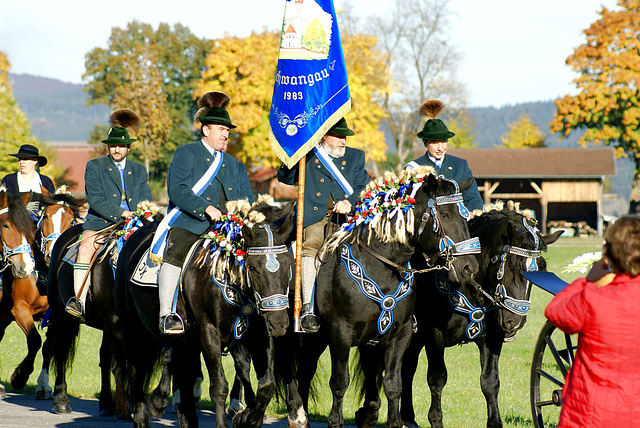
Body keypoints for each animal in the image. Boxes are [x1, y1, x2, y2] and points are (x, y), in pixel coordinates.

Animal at [44, 206, 158, 416]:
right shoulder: (115, 323)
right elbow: (122, 364)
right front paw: (127, 407)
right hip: (62, 314)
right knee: (62, 351)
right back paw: (61, 399)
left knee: (104, 357)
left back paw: (106, 403)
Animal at [115, 197, 296, 428]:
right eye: (254, 267)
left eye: (288, 264)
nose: (279, 322)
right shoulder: (209, 334)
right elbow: (219, 386)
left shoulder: (259, 335)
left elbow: (267, 385)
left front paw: (248, 418)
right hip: (134, 330)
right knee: (136, 370)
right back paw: (143, 415)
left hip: (184, 341)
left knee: (182, 374)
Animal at [278, 169, 480, 428]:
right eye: (444, 215)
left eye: (465, 217)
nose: (468, 267)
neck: (380, 266)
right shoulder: (340, 334)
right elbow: (340, 382)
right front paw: (336, 421)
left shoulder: (400, 334)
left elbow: (393, 383)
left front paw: (392, 420)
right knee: (294, 369)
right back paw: (297, 413)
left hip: (321, 339)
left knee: (306, 370)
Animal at [402, 207, 564, 428]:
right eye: (512, 267)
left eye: (541, 270)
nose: (515, 322)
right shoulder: (434, 336)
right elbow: (437, 379)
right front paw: (435, 419)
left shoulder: (493, 337)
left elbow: (490, 381)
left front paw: (494, 422)